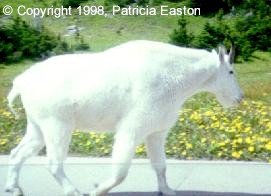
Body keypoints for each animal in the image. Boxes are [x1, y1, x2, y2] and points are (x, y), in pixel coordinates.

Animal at [5, 40, 243, 196]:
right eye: (231, 71)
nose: (239, 98)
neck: (179, 75)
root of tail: (21, 82)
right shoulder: (133, 128)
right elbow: (120, 171)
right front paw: (97, 189)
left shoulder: (156, 131)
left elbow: (160, 165)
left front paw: (167, 190)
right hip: (57, 123)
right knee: (54, 163)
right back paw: (73, 191)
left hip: (37, 124)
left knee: (18, 152)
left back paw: (13, 187)